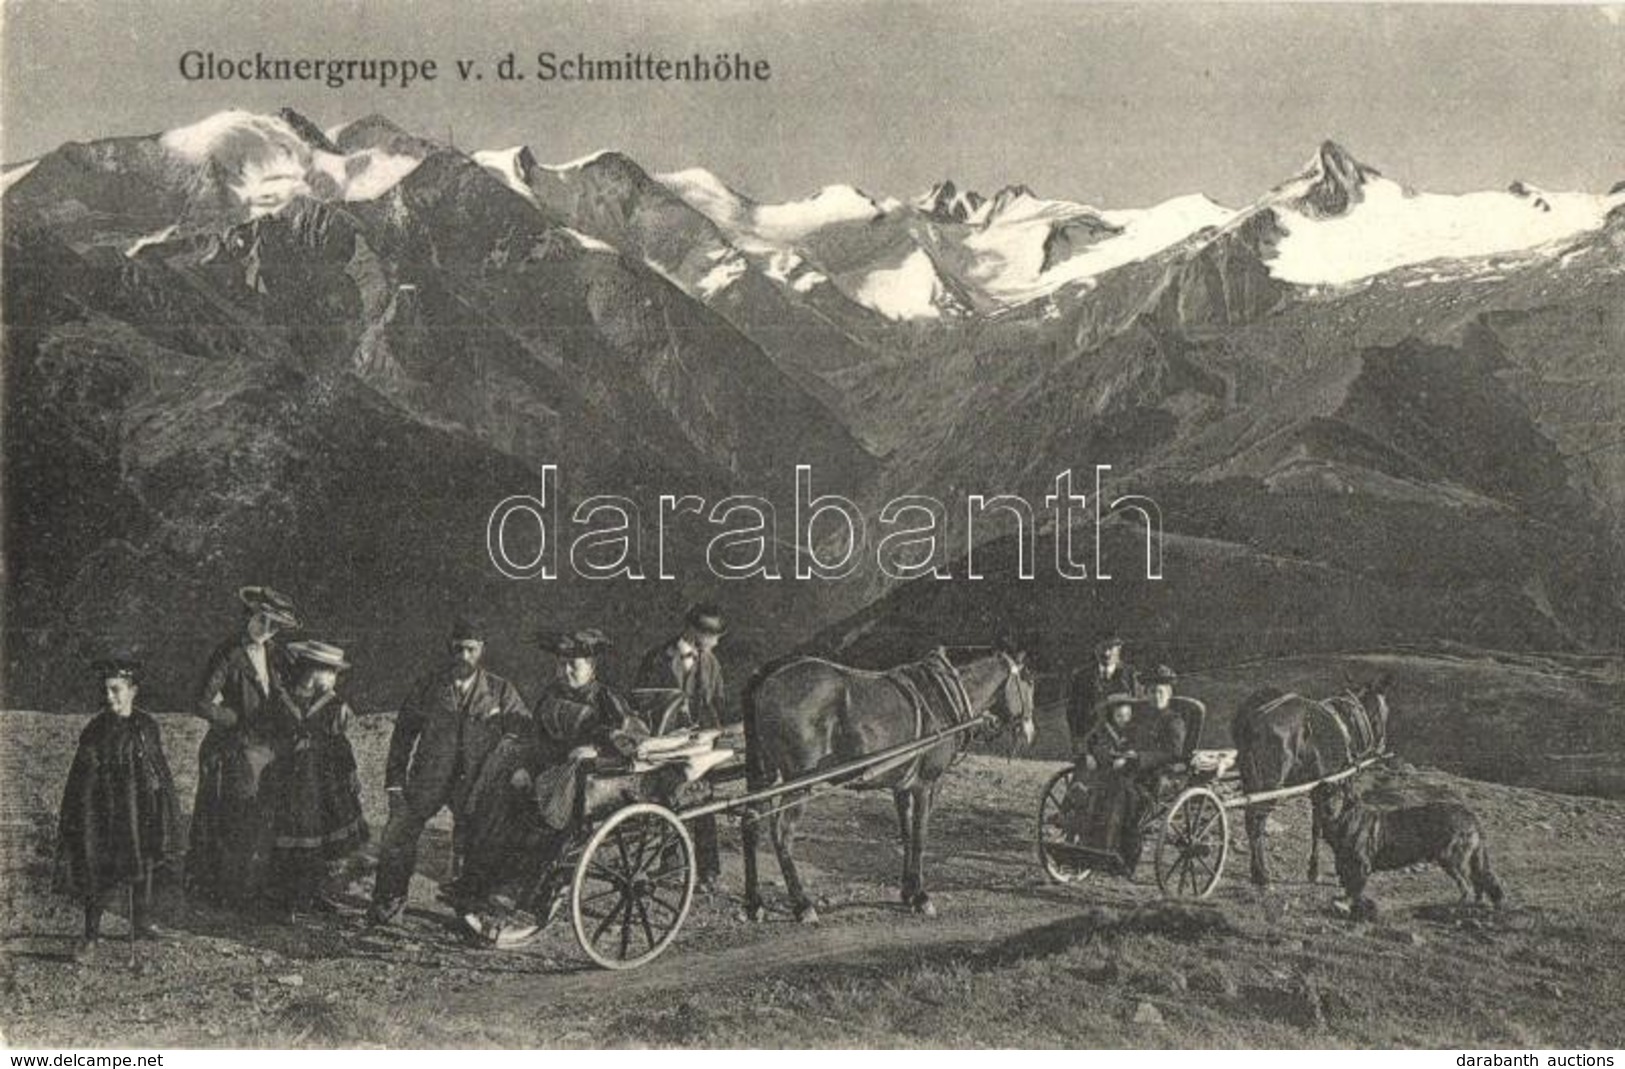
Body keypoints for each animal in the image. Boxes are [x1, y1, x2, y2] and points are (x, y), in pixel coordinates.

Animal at [744, 640, 1033, 922]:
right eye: (1028, 684)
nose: (1029, 732)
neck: (942, 695)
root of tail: (770, 673)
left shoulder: (902, 786)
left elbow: (906, 834)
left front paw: (908, 892)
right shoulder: (927, 784)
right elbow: (920, 836)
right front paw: (921, 897)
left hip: (763, 776)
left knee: (751, 825)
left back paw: (754, 902)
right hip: (799, 781)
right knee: (782, 834)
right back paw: (803, 904)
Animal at [1228, 679, 1397, 883]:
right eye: (1385, 710)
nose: (1383, 747)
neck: (1350, 721)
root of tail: (1252, 717)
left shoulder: (1320, 788)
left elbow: (1320, 826)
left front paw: (1315, 868)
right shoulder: (1334, 785)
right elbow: (1327, 825)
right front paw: (1322, 869)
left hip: (1250, 781)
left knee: (1250, 821)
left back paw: (1256, 871)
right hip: (1270, 786)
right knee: (1256, 823)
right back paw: (1262, 874)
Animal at [1313, 773, 1501, 916]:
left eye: (1339, 797)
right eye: (1324, 795)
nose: (1329, 809)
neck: (1346, 820)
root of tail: (1469, 814)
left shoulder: (1361, 866)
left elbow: (1354, 890)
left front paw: (1347, 906)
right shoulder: (1346, 864)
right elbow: (1348, 888)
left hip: (1451, 859)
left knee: (1467, 886)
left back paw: (1455, 908)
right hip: (1468, 859)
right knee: (1478, 882)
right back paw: (1475, 906)